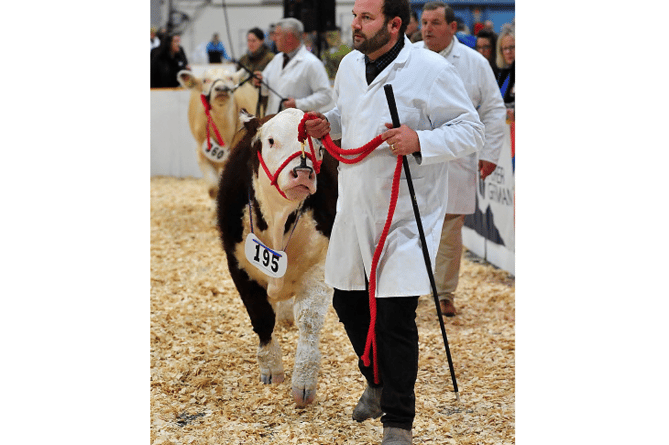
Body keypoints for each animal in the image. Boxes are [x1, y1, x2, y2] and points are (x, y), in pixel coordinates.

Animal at [215, 107, 336, 406]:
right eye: (271, 141)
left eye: (318, 147)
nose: (303, 171)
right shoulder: (238, 265)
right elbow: (261, 316)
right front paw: (271, 368)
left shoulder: (322, 262)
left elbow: (310, 319)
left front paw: (303, 382)